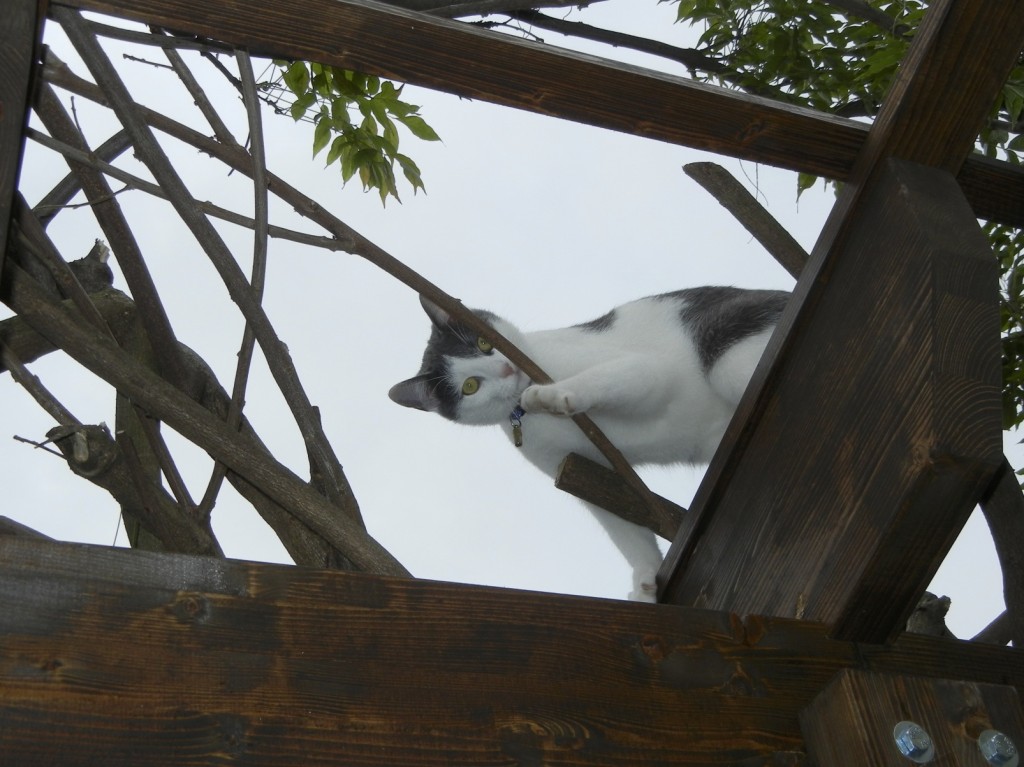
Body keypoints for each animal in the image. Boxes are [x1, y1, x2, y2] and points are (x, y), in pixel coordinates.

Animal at [387, 286, 786, 598]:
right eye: (470, 386)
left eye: (484, 342)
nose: (506, 369)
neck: (525, 412)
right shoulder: (588, 472)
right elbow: (622, 522)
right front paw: (644, 579)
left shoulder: (644, 371)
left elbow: (616, 379)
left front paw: (552, 395)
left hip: (728, 353)